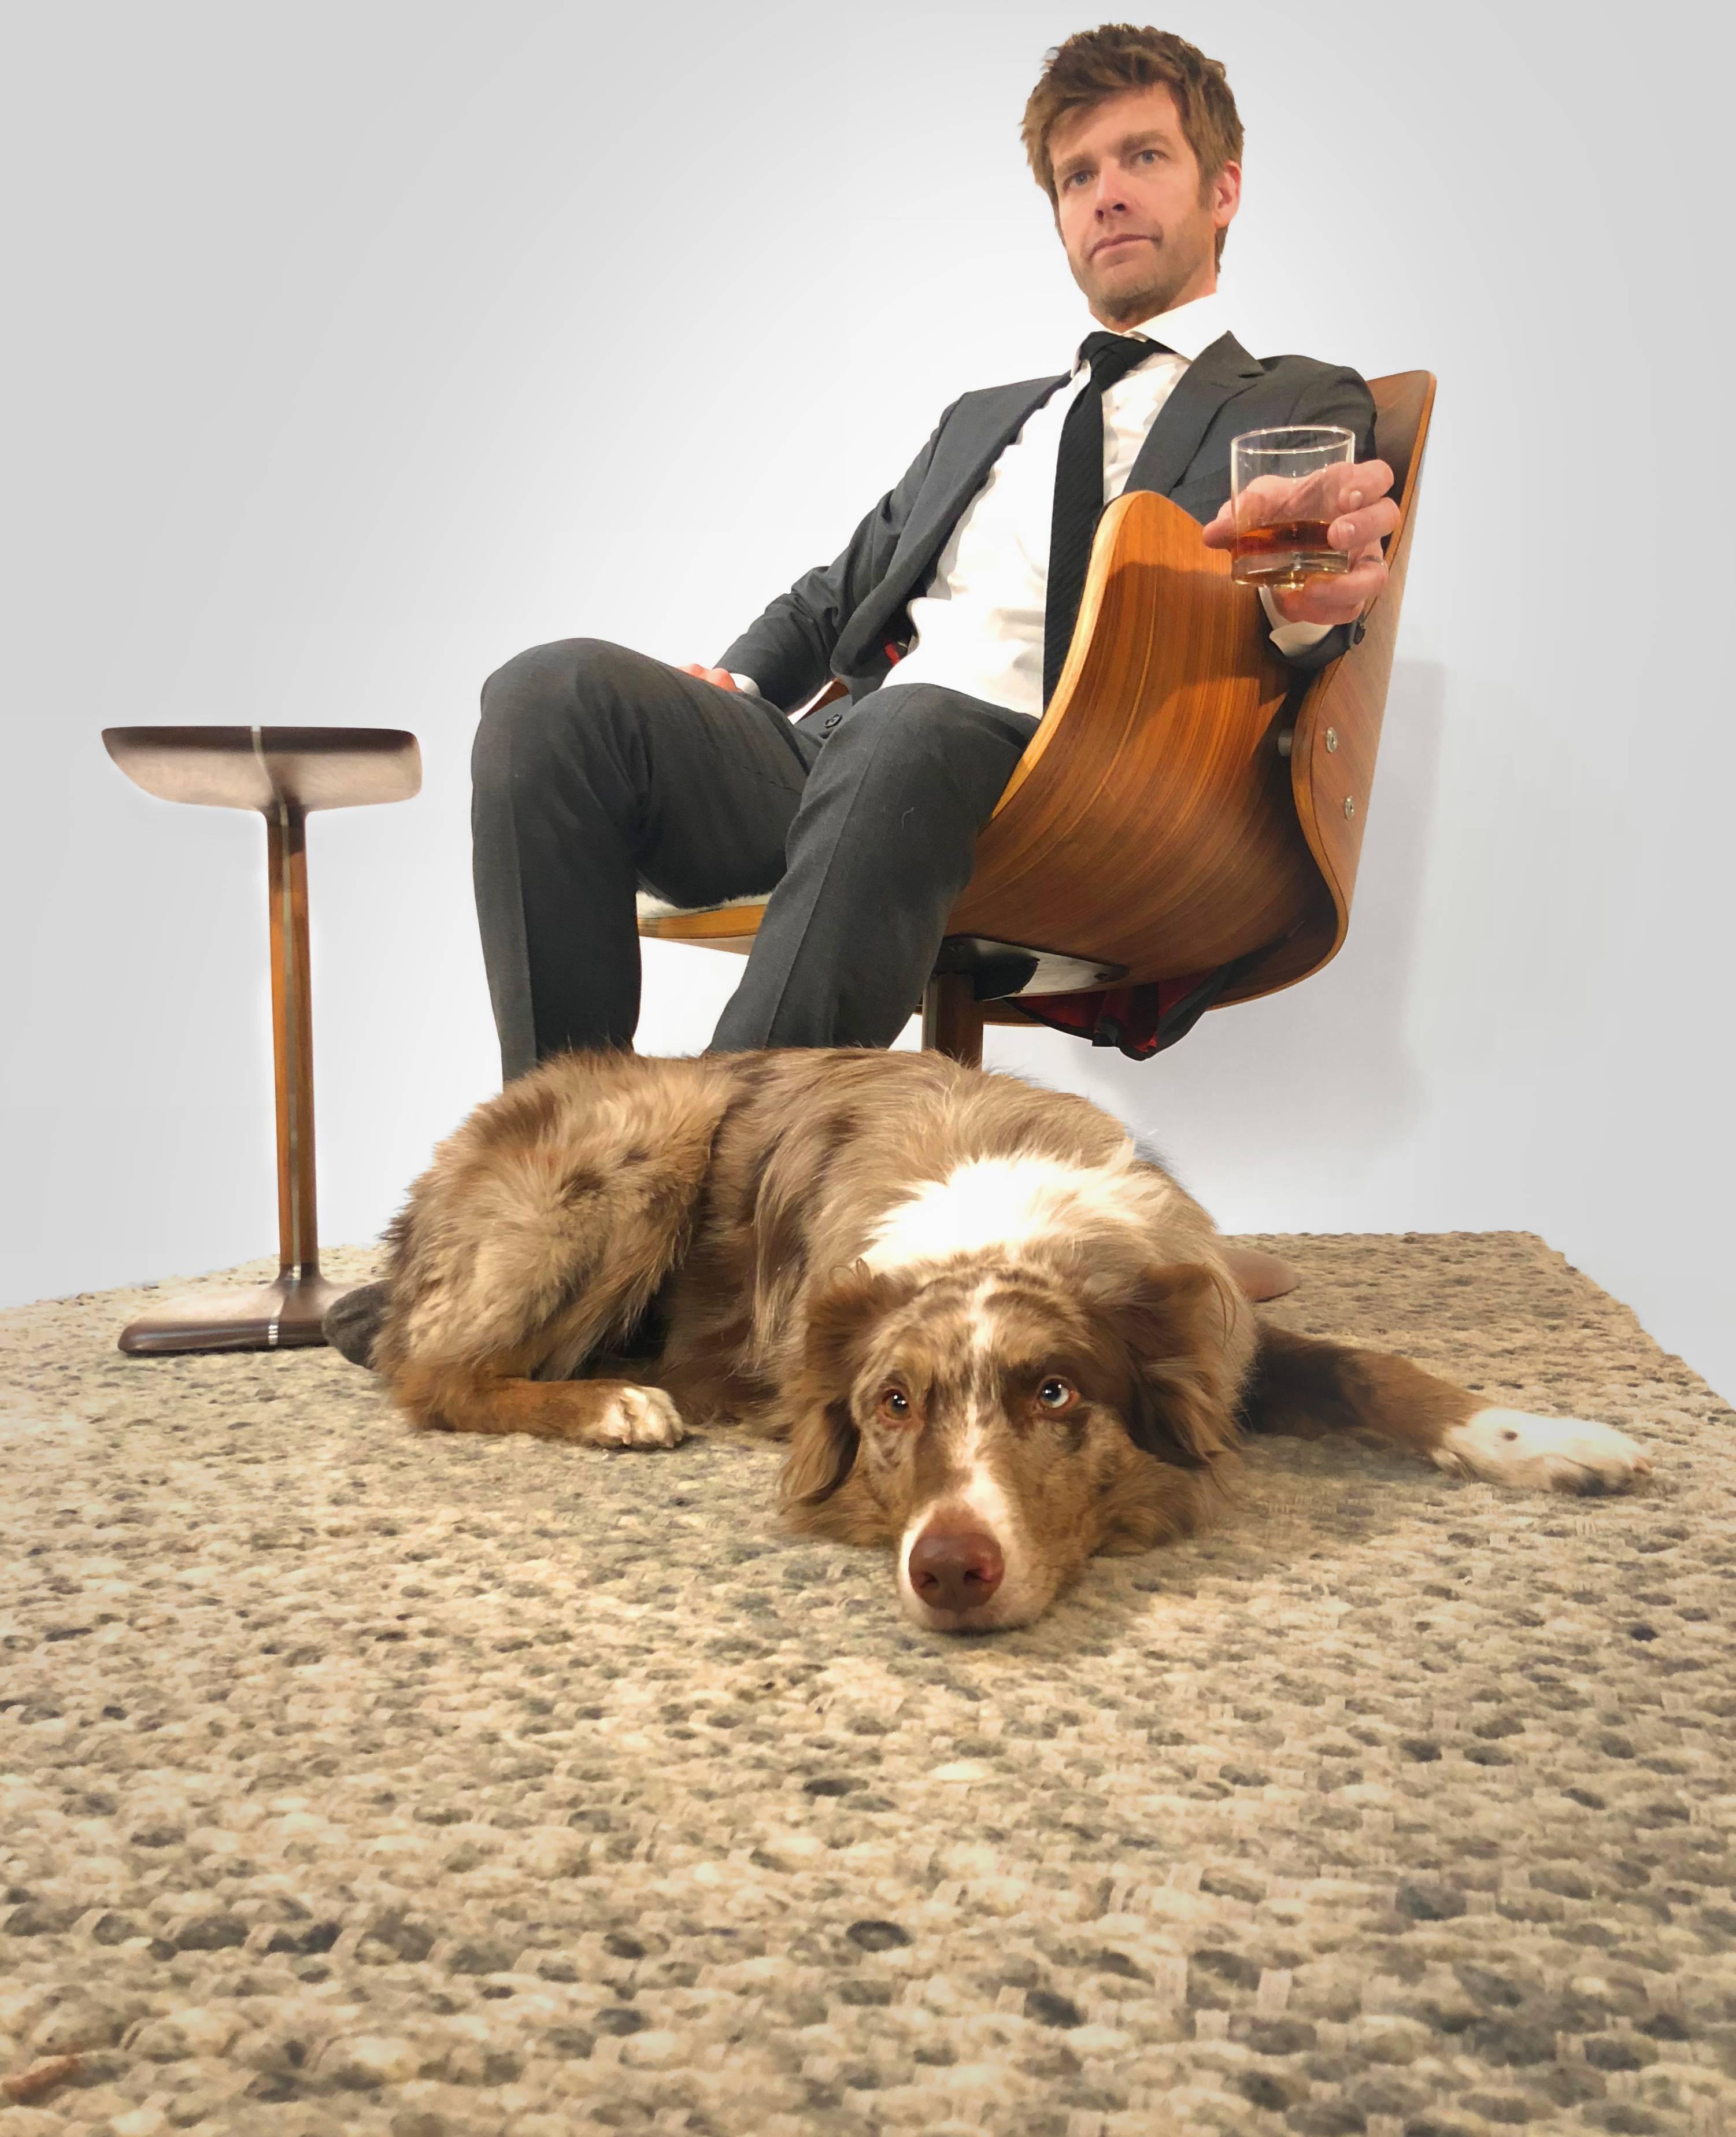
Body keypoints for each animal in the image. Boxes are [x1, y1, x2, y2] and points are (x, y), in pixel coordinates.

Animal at [359, 1051, 1650, 1632]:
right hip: (643, 1138)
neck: (998, 1221)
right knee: (431, 1377)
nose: (948, 1569)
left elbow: (1370, 1367)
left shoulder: (1212, 1326)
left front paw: (1541, 1440)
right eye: (889, 1406)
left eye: (1055, 1393)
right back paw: (611, 1405)